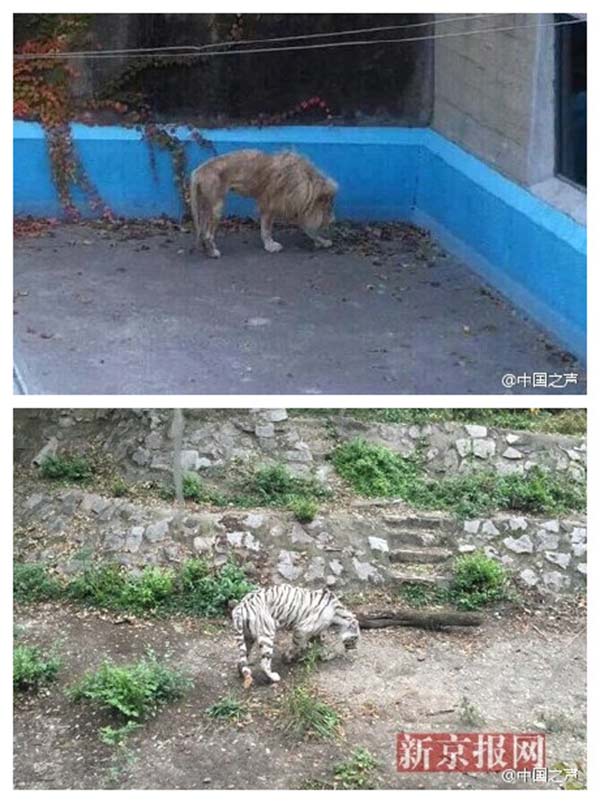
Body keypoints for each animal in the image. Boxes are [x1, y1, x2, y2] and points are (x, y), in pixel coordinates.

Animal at [231, 580, 360, 688]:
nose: (353, 648)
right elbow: (297, 645)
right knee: (264, 662)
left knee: (241, 660)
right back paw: (273, 677)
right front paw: (288, 657)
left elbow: (318, 644)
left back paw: (242, 673)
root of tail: (240, 607)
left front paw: (323, 655)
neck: (337, 614)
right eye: (355, 638)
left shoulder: (315, 632)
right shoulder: (301, 629)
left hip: (247, 637)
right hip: (266, 635)